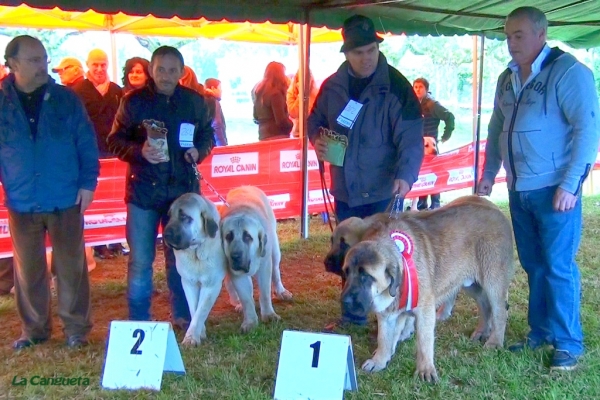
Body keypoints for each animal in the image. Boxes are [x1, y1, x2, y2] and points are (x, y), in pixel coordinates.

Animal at [162, 192, 227, 346]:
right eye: (170, 215)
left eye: (184, 216)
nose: (165, 235)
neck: (196, 250)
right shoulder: (188, 282)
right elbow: (194, 308)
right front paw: (199, 332)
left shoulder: (211, 285)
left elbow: (201, 309)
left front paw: (191, 337)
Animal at [221, 186, 294, 332]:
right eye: (229, 236)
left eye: (247, 236)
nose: (235, 256)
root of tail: (245, 186)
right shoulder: (237, 274)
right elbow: (246, 298)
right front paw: (250, 322)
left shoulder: (264, 267)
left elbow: (265, 292)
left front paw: (269, 315)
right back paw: (237, 303)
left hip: (275, 250)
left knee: (276, 271)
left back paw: (281, 292)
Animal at [340, 195, 512, 382]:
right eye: (347, 272)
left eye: (366, 276)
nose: (345, 301)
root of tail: (497, 211)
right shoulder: (387, 313)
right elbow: (384, 338)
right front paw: (379, 360)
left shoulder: (424, 310)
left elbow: (424, 341)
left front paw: (425, 370)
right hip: (471, 284)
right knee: (485, 307)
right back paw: (482, 332)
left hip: (493, 281)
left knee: (499, 311)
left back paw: (495, 341)